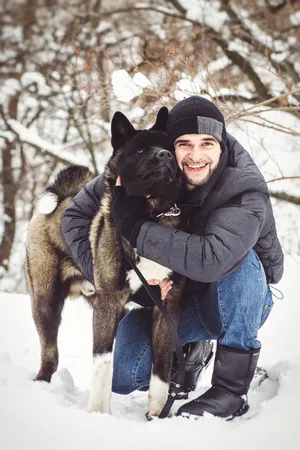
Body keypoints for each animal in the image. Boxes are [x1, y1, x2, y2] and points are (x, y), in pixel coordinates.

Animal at [25, 108, 185, 418]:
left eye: (170, 147)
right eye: (140, 150)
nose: (164, 156)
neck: (151, 217)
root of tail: (62, 197)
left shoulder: (167, 307)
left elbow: (162, 368)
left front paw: (158, 413)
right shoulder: (109, 303)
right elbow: (103, 363)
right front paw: (99, 412)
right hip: (46, 303)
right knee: (50, 355)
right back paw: (41, 384)